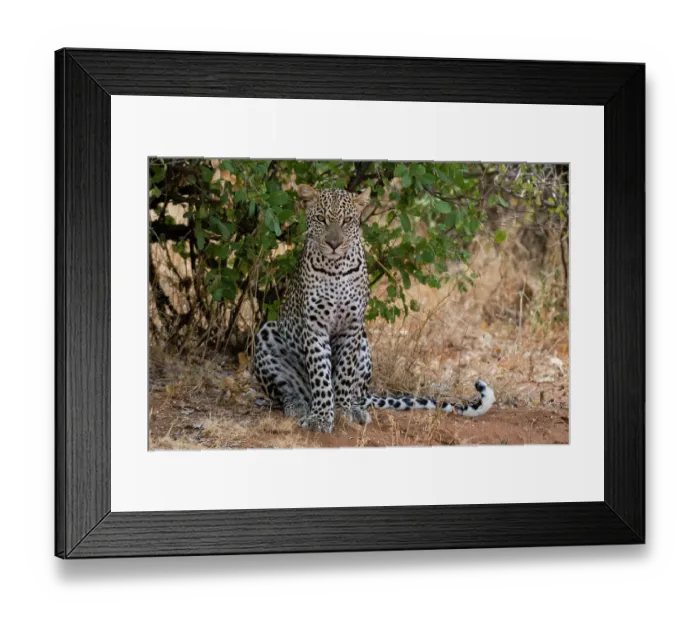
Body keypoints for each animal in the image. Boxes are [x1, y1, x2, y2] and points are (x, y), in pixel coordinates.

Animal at [252, 184, 495, 433]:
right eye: (321, 219)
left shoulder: (352, 327)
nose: (333, 244)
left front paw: (342, 411)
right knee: (287, 392)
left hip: (364, 344)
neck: (335, 268)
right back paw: (298, 405)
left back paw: (356, 408)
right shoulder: (315, 326)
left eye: (347, 220)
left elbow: (344, 375)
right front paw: (320, 417)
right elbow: (321, 375)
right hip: (267, 332)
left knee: (358, 393)